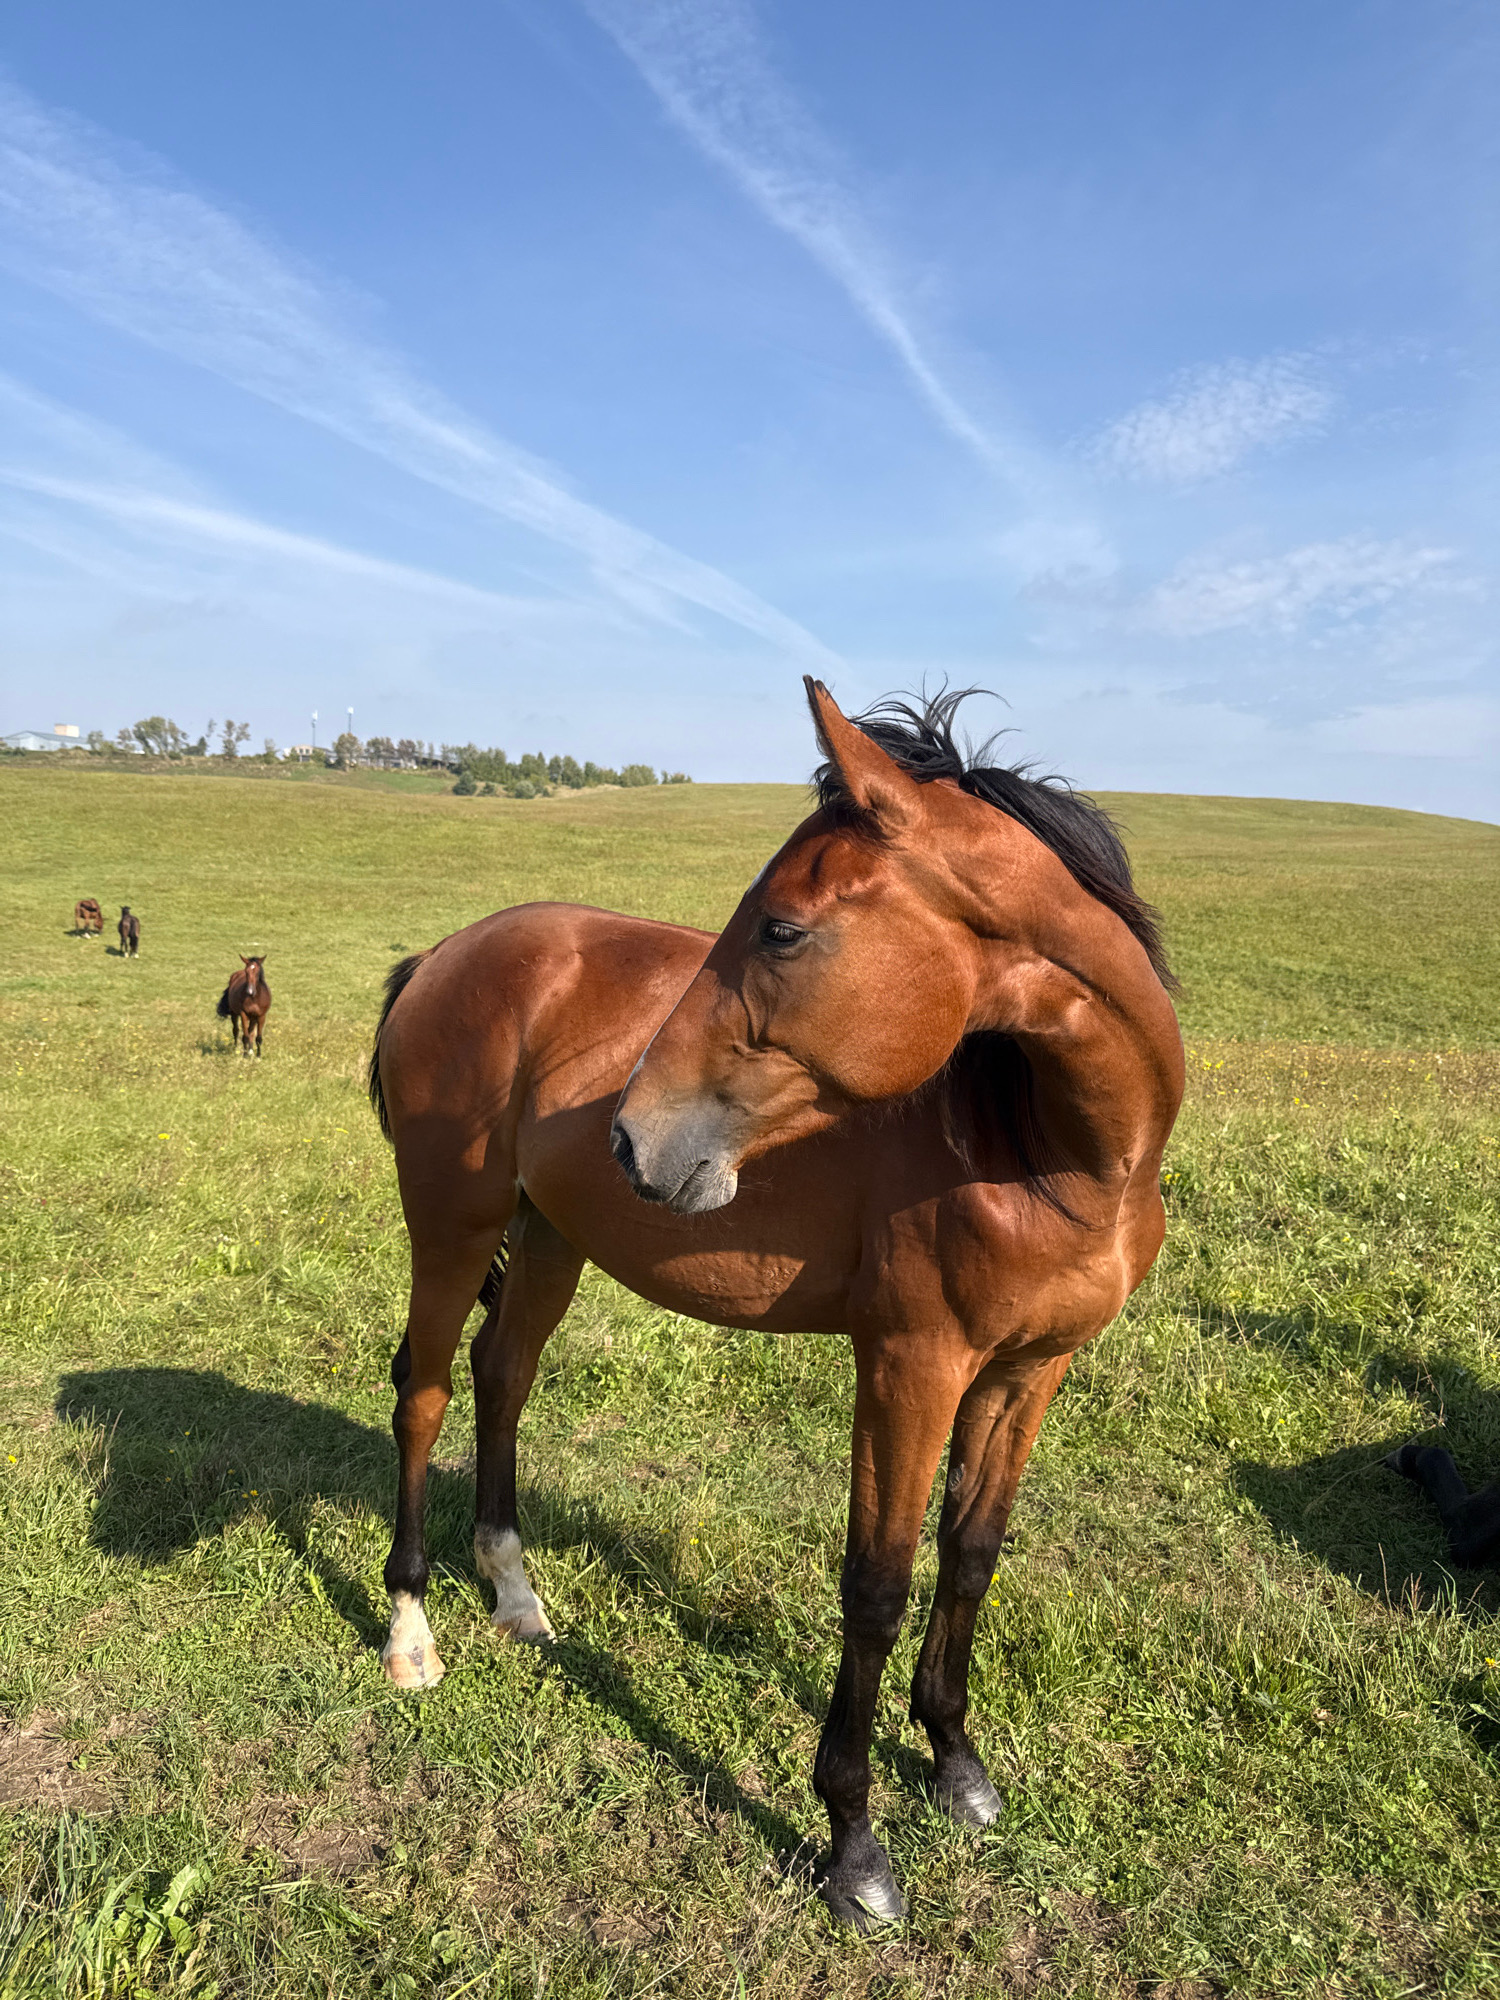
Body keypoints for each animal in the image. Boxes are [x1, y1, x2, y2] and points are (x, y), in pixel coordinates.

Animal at [366, 680, 1185, 1927]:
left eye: (783, 929)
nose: (632, 1137)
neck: (1053, 1153)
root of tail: (445, 955)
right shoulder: (909, 1365)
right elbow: (876, 1587)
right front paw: (854, 1845)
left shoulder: (1028, 1370)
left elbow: (972, 1552)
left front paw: (956, 1763)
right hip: (453, 1225)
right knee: (424, 1393)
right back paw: (411, 1632)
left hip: (549, 1236)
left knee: (504, 1378)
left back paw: (514, 1592)